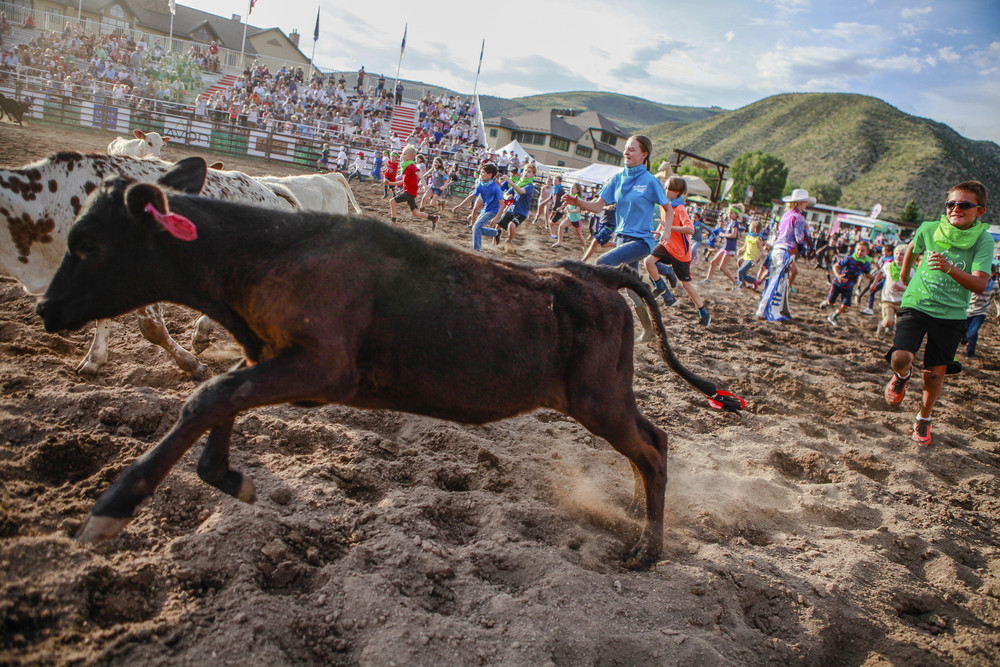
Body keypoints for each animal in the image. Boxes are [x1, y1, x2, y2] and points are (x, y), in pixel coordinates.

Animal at [37, 158, 744, 568]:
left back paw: (648, 550)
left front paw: (114, 505)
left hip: (599, 397)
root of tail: (593, 274)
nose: (46, 308)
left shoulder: (322, 369)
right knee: (650, 445)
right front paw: (225, 474)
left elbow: (208, 395)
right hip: (602, 397)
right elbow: (221, 396)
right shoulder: (265, 356)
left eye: (88, 243)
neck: (268, 251)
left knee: (653, 448)